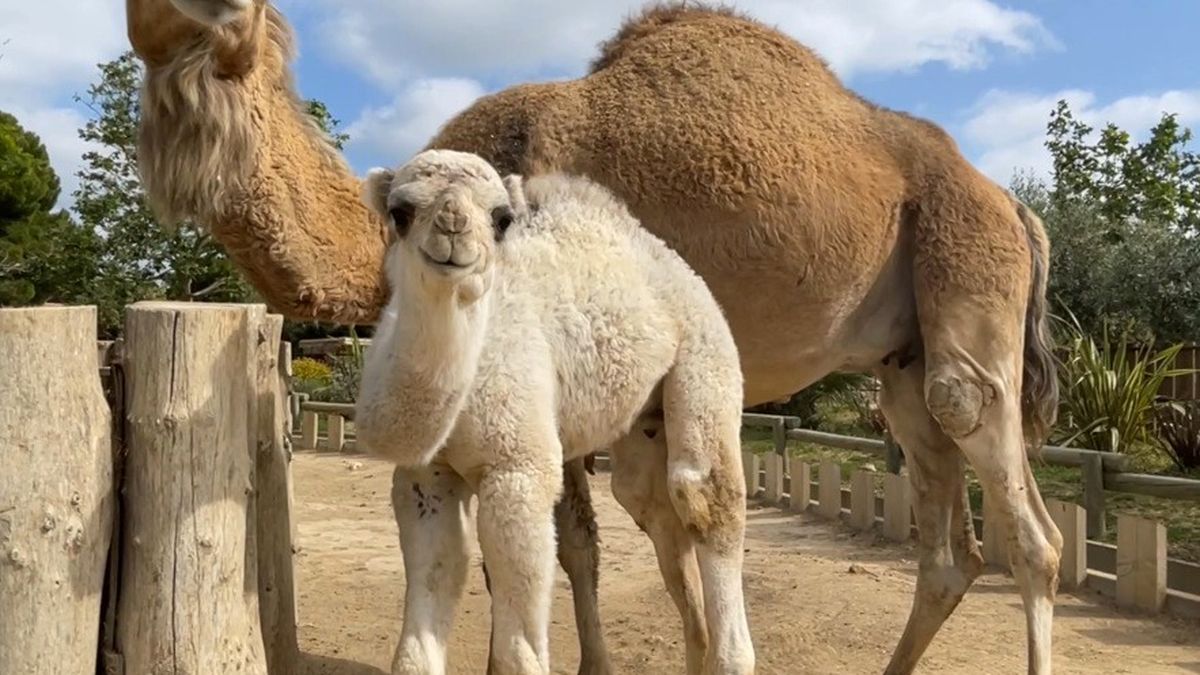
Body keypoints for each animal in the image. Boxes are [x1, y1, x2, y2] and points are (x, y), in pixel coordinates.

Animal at [350, 151, 753, 672]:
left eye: (501, 218)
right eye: (400, 212)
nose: (453, 225)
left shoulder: (518, 468)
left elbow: (520, 642)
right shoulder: (427, 477)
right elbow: (433, 597)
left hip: (706, 354)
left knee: (703, 495)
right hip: (644, 423)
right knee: (651, 503)